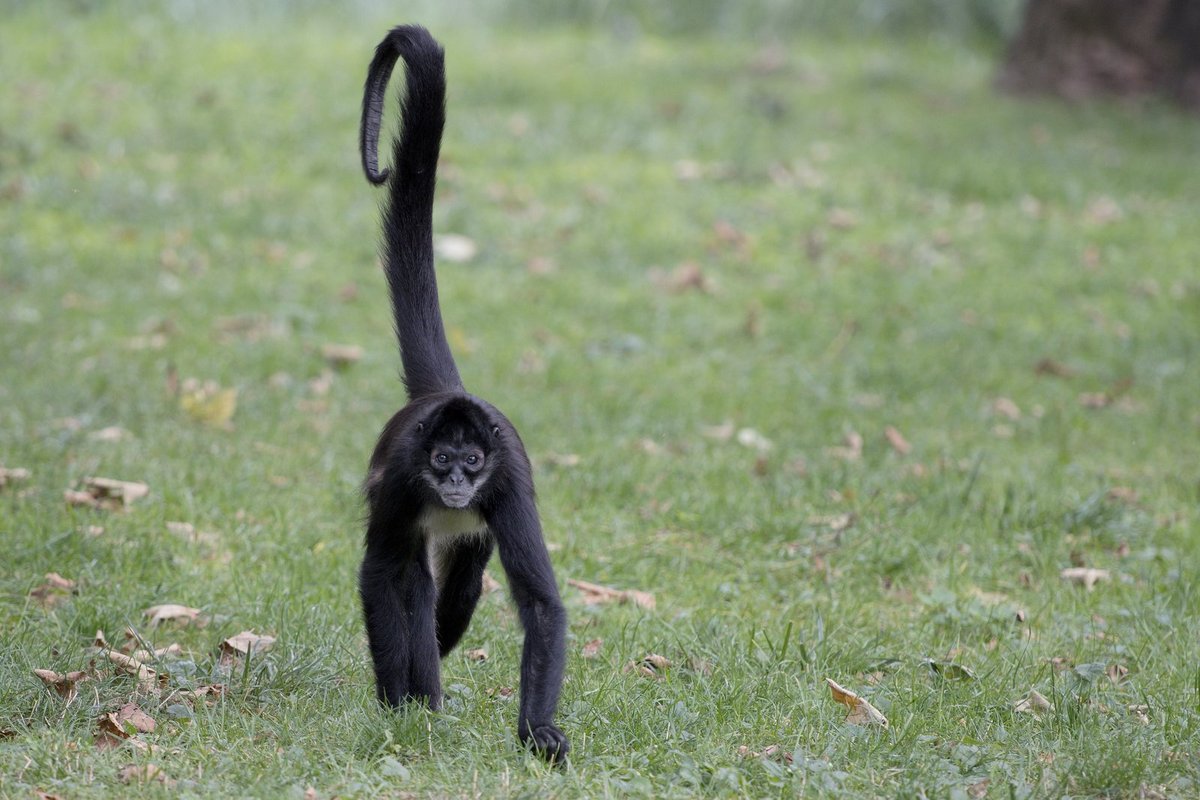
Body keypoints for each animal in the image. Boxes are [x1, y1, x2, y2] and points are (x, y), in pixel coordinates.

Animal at [352, 25, 568, 762]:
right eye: (441, 460)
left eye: (471, 463)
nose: (452, 484)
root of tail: (448, 392)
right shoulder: (401, 478)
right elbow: (382, 571)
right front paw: (396, 704)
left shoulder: (506, 486)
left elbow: (540, 606)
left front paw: (536, 731)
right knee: (415, 583)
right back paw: (422, 690)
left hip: (475, 530)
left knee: (467, 580)